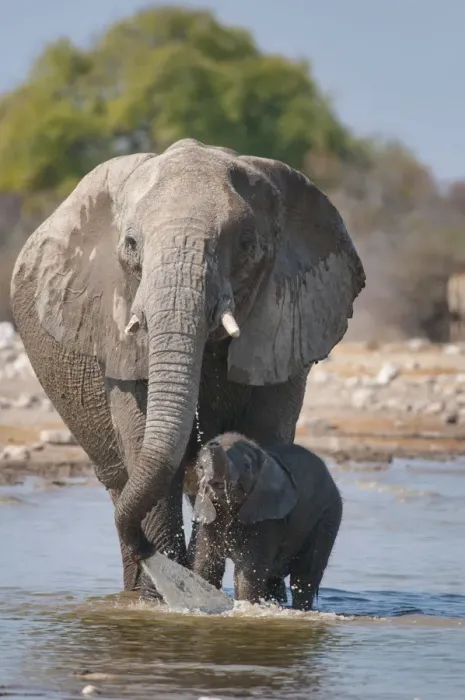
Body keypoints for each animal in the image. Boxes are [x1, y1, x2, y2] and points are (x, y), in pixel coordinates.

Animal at [191, 432, 343, 610]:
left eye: (247, 467)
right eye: (200, 467)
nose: (213, 444)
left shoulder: (268, 520)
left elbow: (247, 573)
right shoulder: (207, 516)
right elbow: (206, 566)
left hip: (328, 516)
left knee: (305, 575)